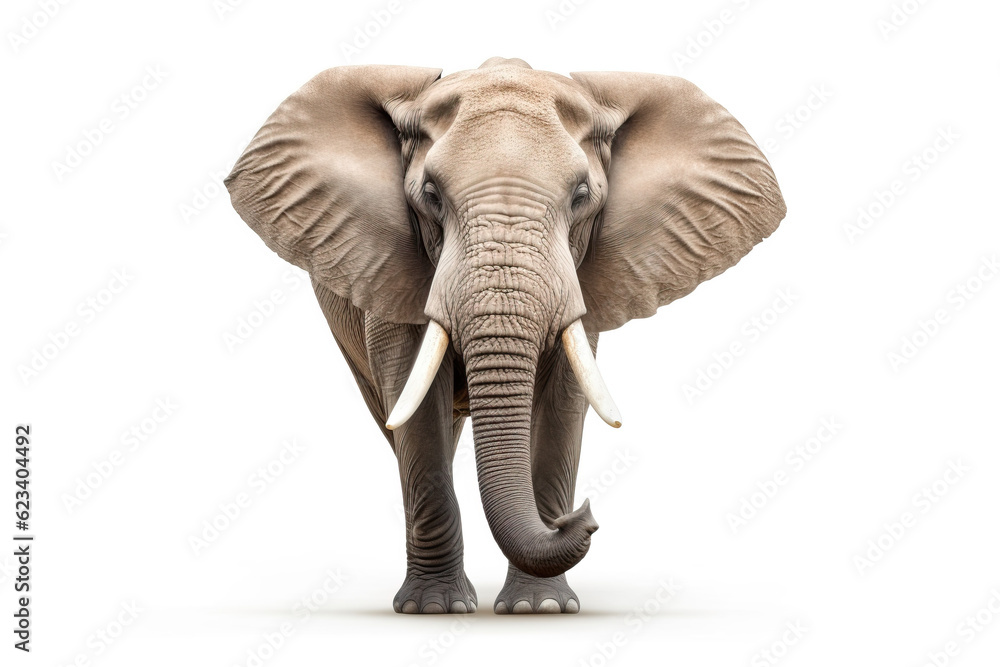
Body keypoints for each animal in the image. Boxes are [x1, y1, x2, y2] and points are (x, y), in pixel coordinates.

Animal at [225, 56, 785, 614]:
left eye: (581, 196)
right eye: (431, 196)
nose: (581, 516)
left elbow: (562, 405)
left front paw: (540, 609)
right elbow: (416, 411)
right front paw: (435, 609)